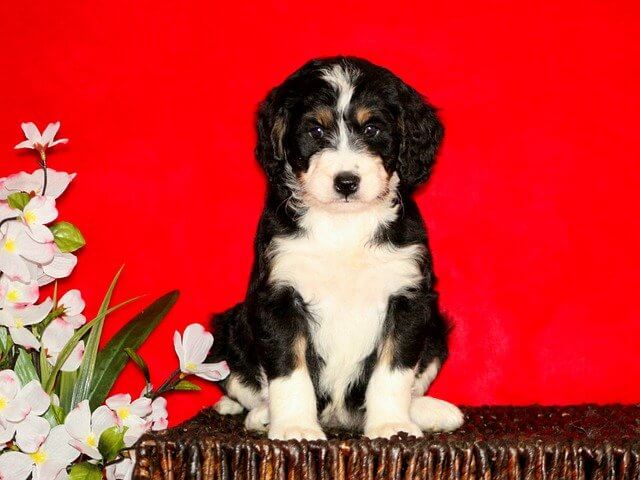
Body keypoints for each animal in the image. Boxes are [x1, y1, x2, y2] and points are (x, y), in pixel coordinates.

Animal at [210, 55, 464, 438]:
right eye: (315, 130)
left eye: (372, 129)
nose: (346, 182)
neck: (344, 226)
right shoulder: (279, 294)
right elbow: (289, 371)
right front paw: (295, 427)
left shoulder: (408, 298)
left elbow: (394, 371)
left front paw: (391, 424)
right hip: (229, 329)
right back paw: (260, 415)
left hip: (435, 330)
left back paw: (430, 410)